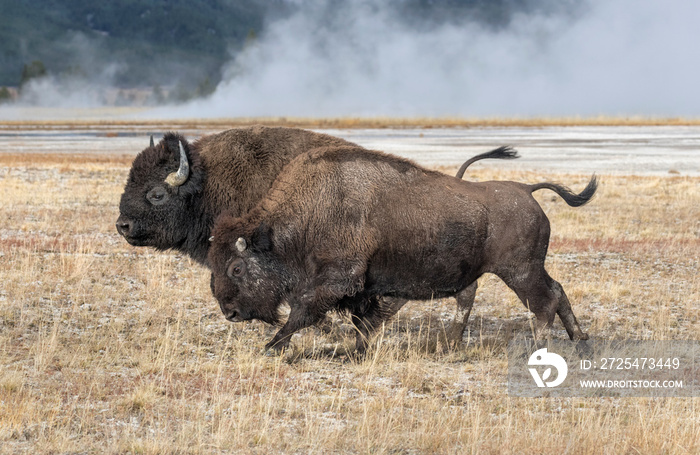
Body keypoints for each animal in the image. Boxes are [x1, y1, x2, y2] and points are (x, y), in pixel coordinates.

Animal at [208, 145, 596, 352]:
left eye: (236, 268)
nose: (230, 312)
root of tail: (525, 189)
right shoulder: (365, 289)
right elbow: (362, 320)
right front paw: (356, 349)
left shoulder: (337, 281)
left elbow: (303, 312)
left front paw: (272, 347)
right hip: (527, 269)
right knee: (556, 291)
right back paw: (580, 340)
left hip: (520, 272)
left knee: (544, 302)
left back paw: (540, 348)